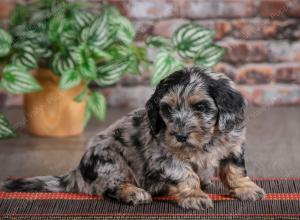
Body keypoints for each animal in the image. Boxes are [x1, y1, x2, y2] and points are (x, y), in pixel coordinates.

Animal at [2, 67, 264, 210]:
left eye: (200, 107)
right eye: (167, 110)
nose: (179, 136)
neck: (204, 142)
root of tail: (77, 173)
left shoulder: (233, 145)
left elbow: (235, 170)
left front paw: (246, 188)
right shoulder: (165, 156)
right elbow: (186, 175)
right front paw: (194, 195)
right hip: (110, 160)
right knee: (109, 187)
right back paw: (134, 193)